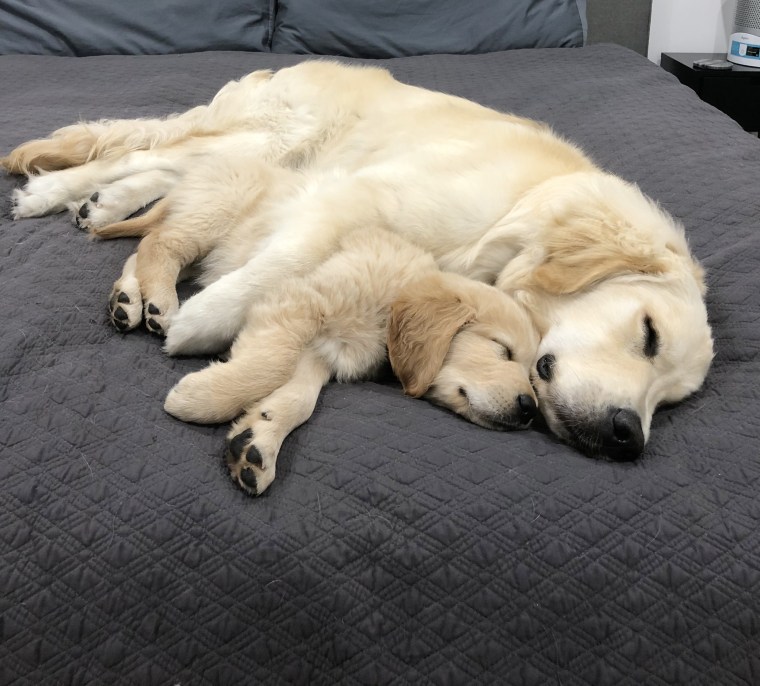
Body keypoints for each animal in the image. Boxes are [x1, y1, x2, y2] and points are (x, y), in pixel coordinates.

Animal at [4, 61, 712, 464]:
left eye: (670, 401)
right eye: (647, 332)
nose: (628, 436)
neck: (521, 207)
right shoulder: (360, 196)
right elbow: (285, 260)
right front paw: (205, 320)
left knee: (159, 175)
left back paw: (107, 226)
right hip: (272, 139)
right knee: (134, 155)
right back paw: (48, 193)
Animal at [160, 228, 540, 498]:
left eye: (533, 375)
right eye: (503, 349)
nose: (530, 409)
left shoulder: (322, 352)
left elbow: (300, 397)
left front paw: (259, 438)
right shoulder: (300, 300)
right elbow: (274, 363)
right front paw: (203, 397)